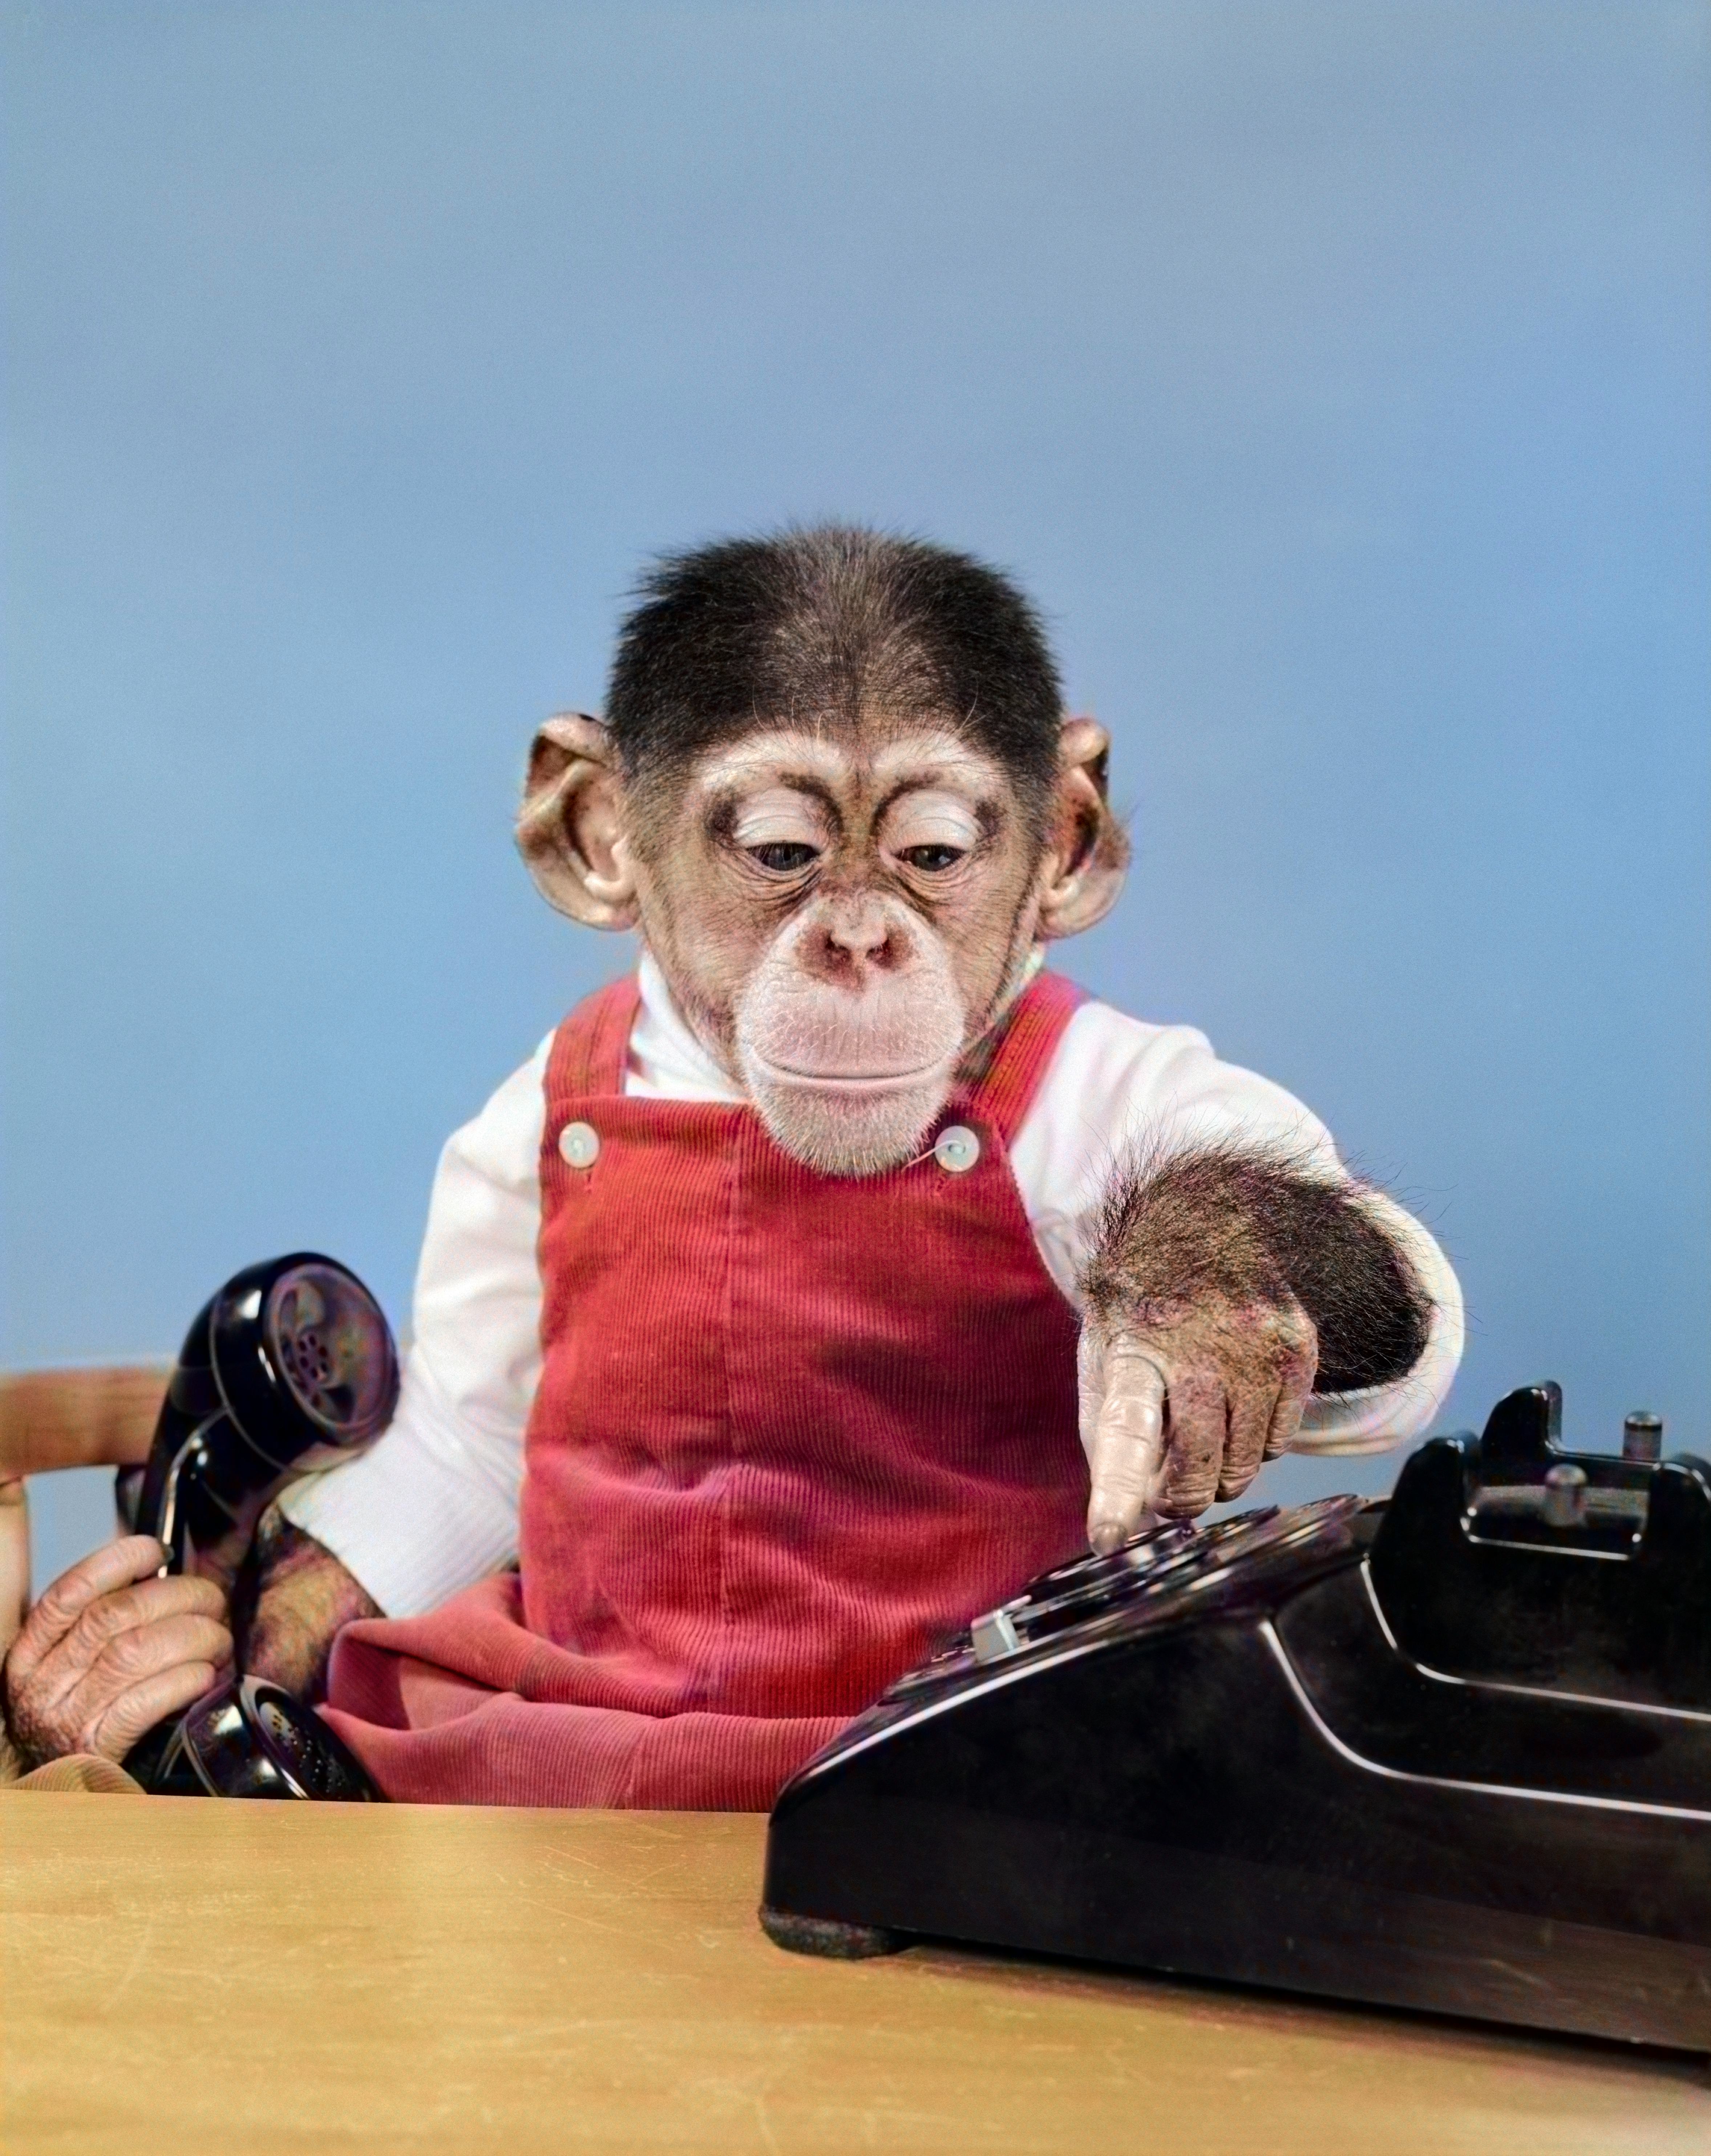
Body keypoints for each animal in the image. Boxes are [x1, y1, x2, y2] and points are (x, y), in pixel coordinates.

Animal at [4, 527, 1460, 1797]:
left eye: (934, 854)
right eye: (782, 853)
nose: (861, 940)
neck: (730, 1110)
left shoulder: (1115, 1081)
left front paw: (1198, 1294)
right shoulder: (492, 1141)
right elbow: (462, 1437)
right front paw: (115, 1661)